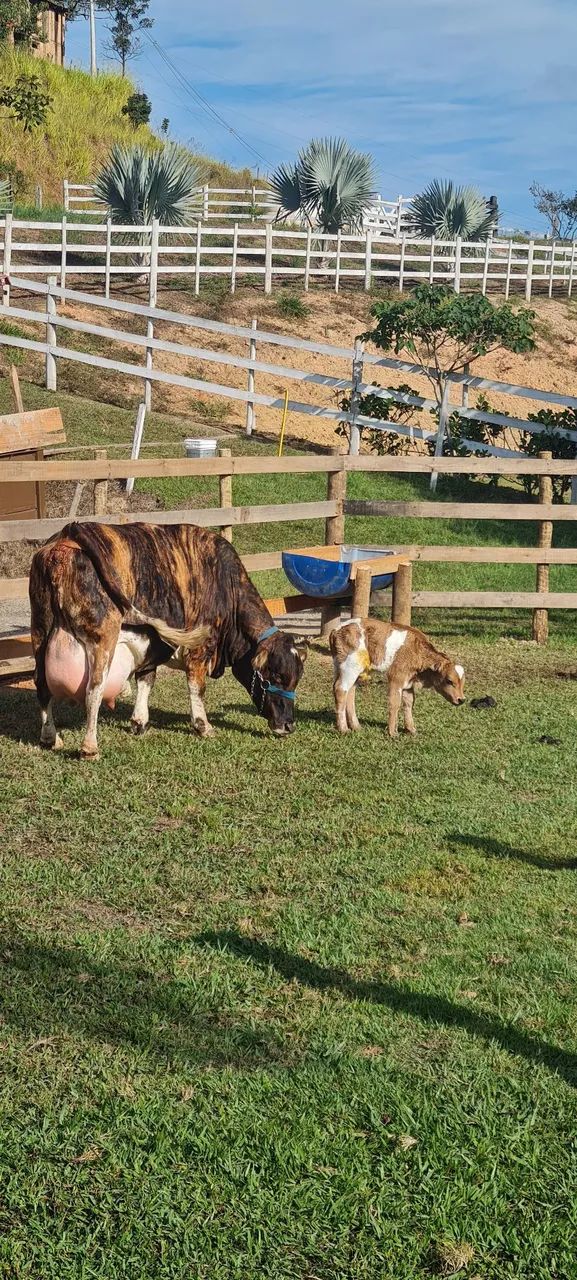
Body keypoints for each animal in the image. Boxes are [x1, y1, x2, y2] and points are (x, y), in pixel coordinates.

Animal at [29, 522, 307, 759]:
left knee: (42, 685)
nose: (288, 725)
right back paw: (89, 747)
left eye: (296, 679)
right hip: (103, 637)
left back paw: (49, 737)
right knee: (93, 690)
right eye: (276, 675)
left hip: (40, 630)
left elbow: (146, 680)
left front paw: (139, 722)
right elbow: (197, 687)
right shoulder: (200, 649)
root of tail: (71, 531)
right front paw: (203, 726)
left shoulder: (150, 648)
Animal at [330, 617, 465, 737]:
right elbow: (394, 704)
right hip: (350, 666)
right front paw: (392, 733)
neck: (416, 651)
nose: (461, 700)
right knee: (340, 689)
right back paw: (344, 729)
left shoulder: (408, 682)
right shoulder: (396, 679)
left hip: (353, 670)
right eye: (449, 681)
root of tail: (336, 629)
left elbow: (409, 703)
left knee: (350, 692)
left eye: (462, 683)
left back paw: (356, 727)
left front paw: (411, 730)